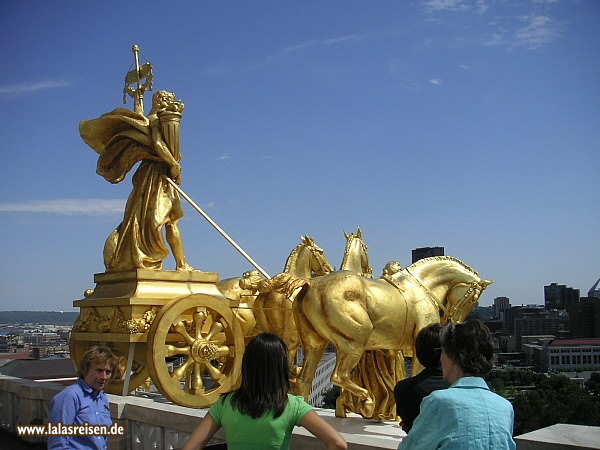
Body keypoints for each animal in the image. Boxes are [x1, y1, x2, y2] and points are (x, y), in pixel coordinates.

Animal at [290, 255, 492, 416]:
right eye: (474, 298)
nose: (455, 319)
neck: (424, 286)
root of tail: (312, 283)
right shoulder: (419, 348)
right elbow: (415, 377)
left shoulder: (396, 350)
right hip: (354, 342)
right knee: (338, 376)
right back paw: (367, 402)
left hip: (315, 345)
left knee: (304, 381)